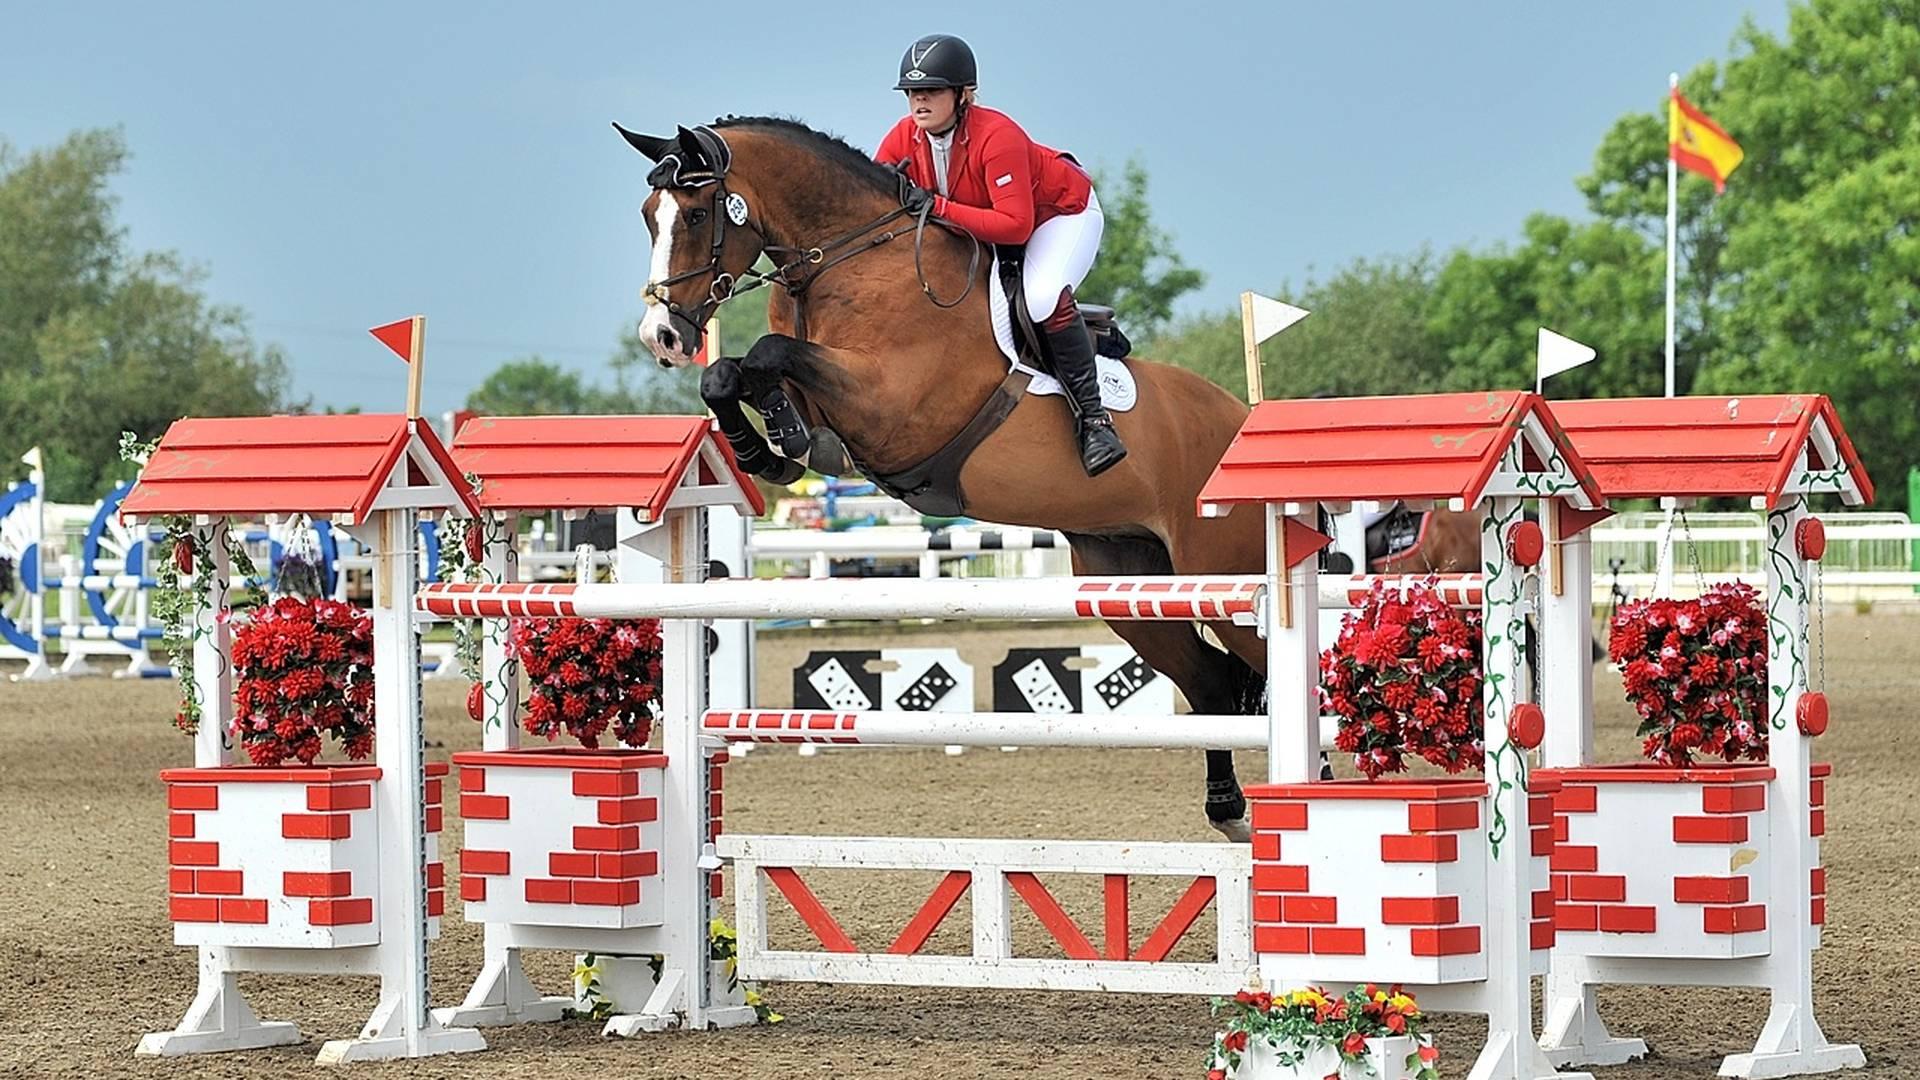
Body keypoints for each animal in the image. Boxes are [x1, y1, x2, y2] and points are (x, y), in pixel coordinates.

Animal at [614, 119, 1482, 841]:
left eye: (697, 215)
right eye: (648, 216)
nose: (661, 336)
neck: (851, 258)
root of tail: (1240, 416)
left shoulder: (895, 406)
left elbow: (764, 355)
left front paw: (775, 439)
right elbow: (735, 372)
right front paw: (765, 450)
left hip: (1227, 575)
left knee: (1276, 673)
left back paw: (1312, 793)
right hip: (1128, 578)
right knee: (1213, 681)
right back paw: (1230, 810)